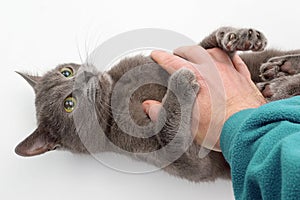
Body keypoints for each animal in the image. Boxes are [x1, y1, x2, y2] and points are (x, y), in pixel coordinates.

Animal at [15, 27, 300, 183]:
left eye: (66, 72)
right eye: (69, 104)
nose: (85, 76)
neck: (116, 91)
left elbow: (200, 48)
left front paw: (236, 36)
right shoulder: (185, 160)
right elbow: (171, 130)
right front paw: (181, 81)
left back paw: (281, 68)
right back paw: (279, 82)